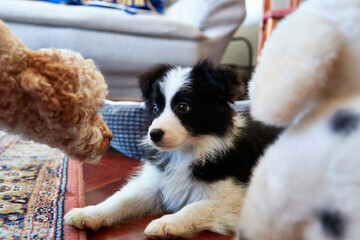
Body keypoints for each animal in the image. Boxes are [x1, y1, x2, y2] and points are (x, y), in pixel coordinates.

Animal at [64, 60, 282, 238]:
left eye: (184, 107)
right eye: (155, 108)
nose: (154, 134)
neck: (186, 152)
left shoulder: (237, 197)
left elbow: (196, 206)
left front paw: (167, 223)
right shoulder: (155, 182)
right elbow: (121, 198)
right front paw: (89, 213)